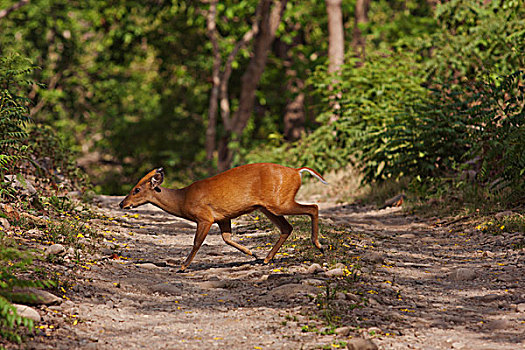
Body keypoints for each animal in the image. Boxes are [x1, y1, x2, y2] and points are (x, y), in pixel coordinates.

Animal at [118, 163, 328, 272]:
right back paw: (266, 259)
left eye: (136, 189)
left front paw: (182, 266)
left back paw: (319, 245)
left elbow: (196, 242)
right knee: (287, 227)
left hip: (279, 202)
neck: (183, 199)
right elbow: (227, 238)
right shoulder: (223, 217)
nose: (122, 204)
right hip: (267, 206)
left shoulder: (205, 217)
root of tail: (297, 172)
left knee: (313, 207)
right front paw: (251, 254)